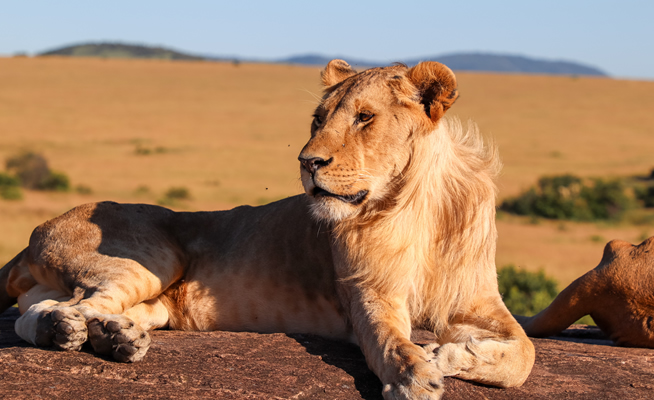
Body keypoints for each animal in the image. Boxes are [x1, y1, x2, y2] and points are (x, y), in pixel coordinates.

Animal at [0, 59, 534, 399]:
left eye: (365, 118)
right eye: (318, 119)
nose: (308, 161)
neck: (412, 207)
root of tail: (35, 233)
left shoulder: (479, 303)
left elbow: (523, 356)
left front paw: (450, 354)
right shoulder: (369, 295)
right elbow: (391, 341)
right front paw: (415, 376)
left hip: (155, 300)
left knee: (64, 309)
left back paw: (112, 338)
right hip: (150, 261)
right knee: (67, 307)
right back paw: (73, 332)